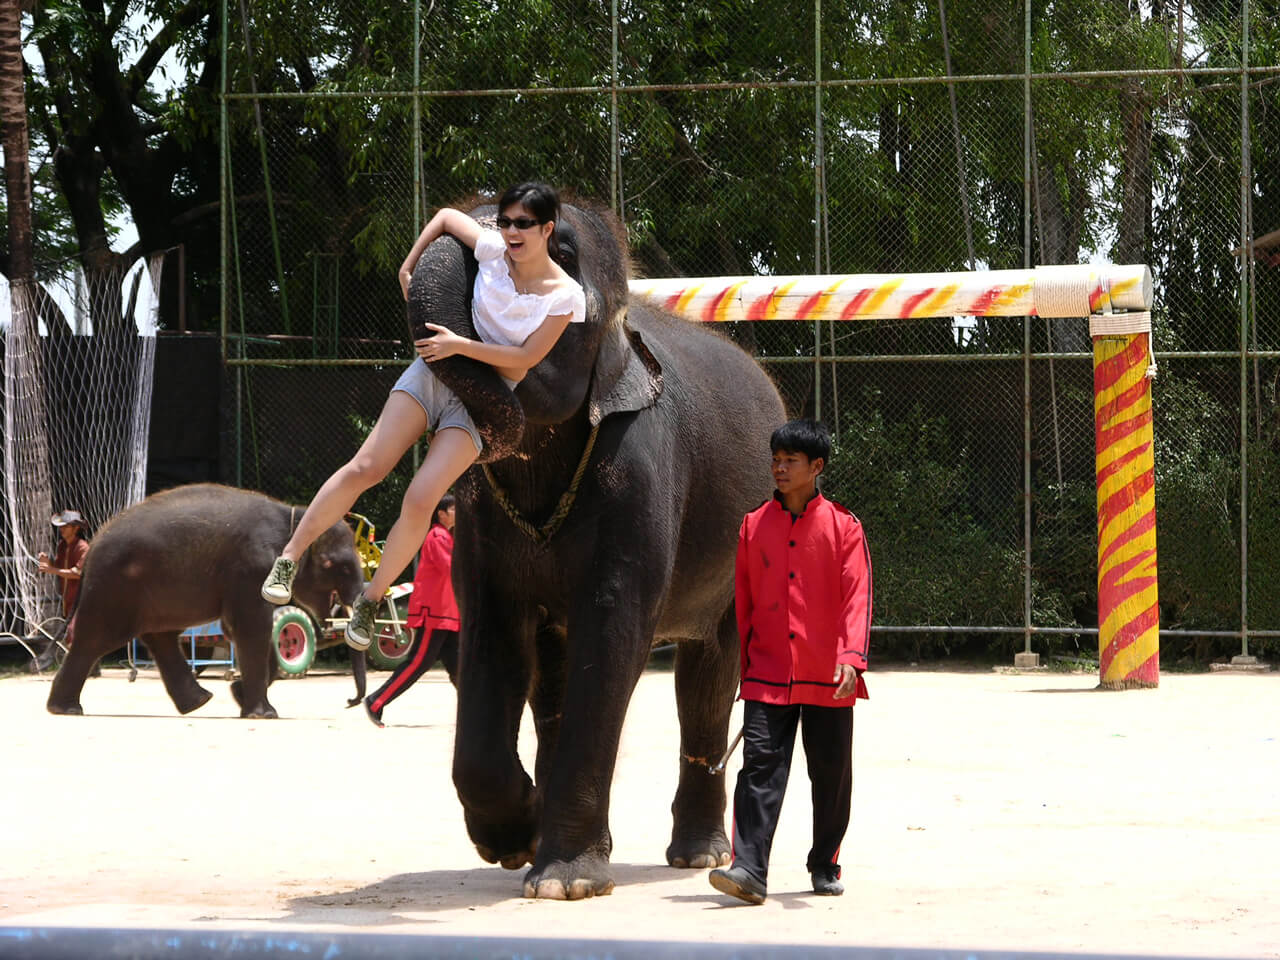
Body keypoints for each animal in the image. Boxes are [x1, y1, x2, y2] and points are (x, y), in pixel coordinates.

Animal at [46, 483, 360, 716]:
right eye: (339, 566)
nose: (350, 702)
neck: (296, 515)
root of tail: (91, 550)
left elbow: (244, 630)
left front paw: (239, 695)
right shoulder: (251, 568)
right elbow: (251, 628)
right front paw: (263, 714)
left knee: (160, 637)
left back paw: (198, 702)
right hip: (114, 588)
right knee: (96, 639)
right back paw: (66, 709)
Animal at [414, 199, 783, 901]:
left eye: (558, 250)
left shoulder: (638, 468)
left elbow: (612, 632)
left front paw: (563, 881)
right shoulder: (479, 515)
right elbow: (492, 633)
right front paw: (514, 840)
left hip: (743, 546)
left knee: (709, 674)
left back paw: (697, 857)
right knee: (558, 680)